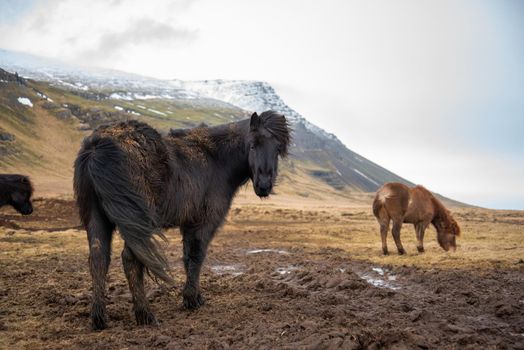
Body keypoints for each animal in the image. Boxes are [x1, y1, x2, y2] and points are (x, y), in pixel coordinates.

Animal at [73, 110, 290, 330]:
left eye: (277, 148)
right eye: (253, 144)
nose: (264, 185)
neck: (216, 159)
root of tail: (98, 146)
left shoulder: (188, 224)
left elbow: (187, 257)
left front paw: (195, 297)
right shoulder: (205, 222)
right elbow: (197, 255)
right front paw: (191, 300)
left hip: (97, 218)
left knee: (99, 258)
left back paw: (99, 318)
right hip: (137, 223)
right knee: (130, 259)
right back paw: (145, 315)